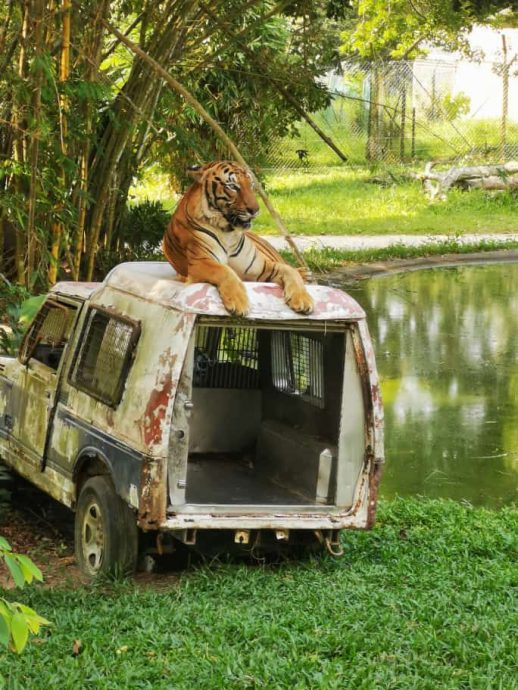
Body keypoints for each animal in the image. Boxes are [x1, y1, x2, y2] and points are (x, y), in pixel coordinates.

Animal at [162, 160, 314, 316]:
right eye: (233, 187)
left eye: (251, 185)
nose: (255, 210)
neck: (228, 233)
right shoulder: (200, 262)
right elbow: (225, 271)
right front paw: (238, 302)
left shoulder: (260, 266)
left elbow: (289, 271)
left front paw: (303, 299)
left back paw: (305, 273)